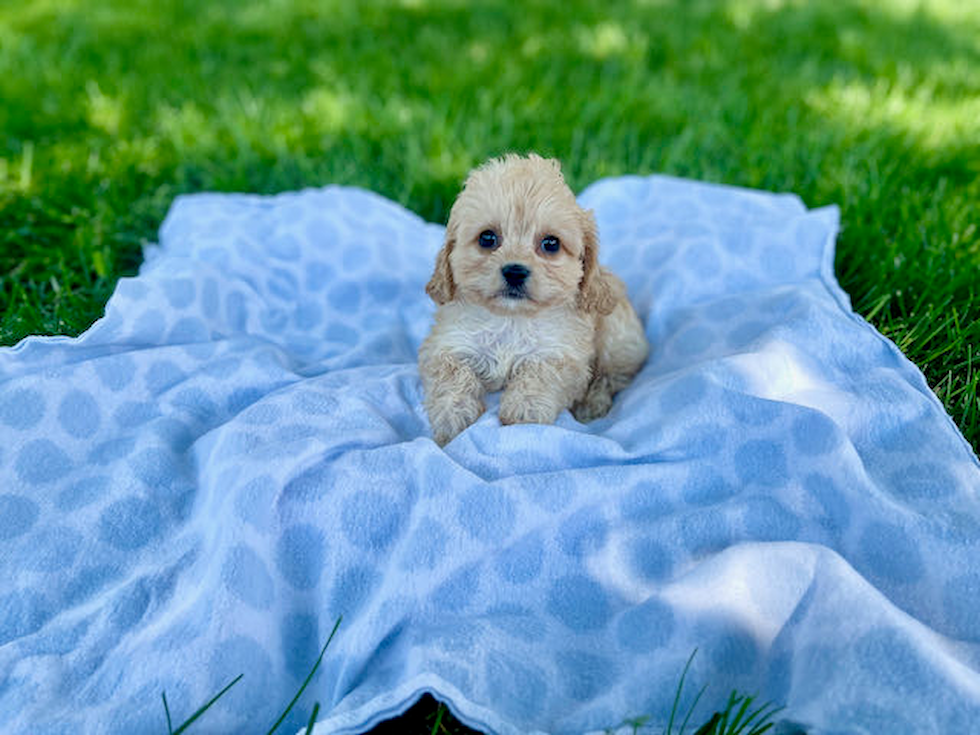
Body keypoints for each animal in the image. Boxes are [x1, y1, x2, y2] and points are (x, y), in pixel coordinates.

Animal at [418, 152, 648, 446]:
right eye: (487, 238)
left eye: (551, 243)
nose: (515, 271)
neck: (511, 318)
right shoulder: (446, 344)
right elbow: (450, 373)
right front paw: (453, 416)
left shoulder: (563, 354)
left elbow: (542, 372)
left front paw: (523, 411)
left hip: (619, 341)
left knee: (610, 378)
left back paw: (590, 406)